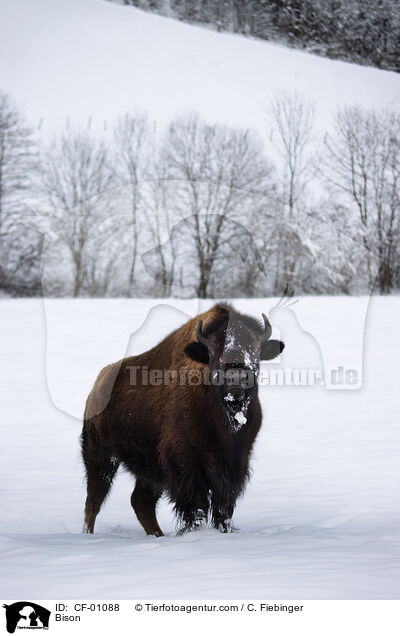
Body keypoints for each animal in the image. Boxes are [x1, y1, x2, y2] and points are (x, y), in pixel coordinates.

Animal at [81, 304, 284, 536]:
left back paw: (157, 536)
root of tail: (98, 385)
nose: (236, 380)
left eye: (255, 350)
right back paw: (88, 534)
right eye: (213, 351)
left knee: (140, 501)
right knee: (94, 501)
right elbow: (196, 506)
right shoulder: (185, 461)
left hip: (149, 469)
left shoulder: (236, 461)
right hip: (101, 456)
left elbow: (223, 507)